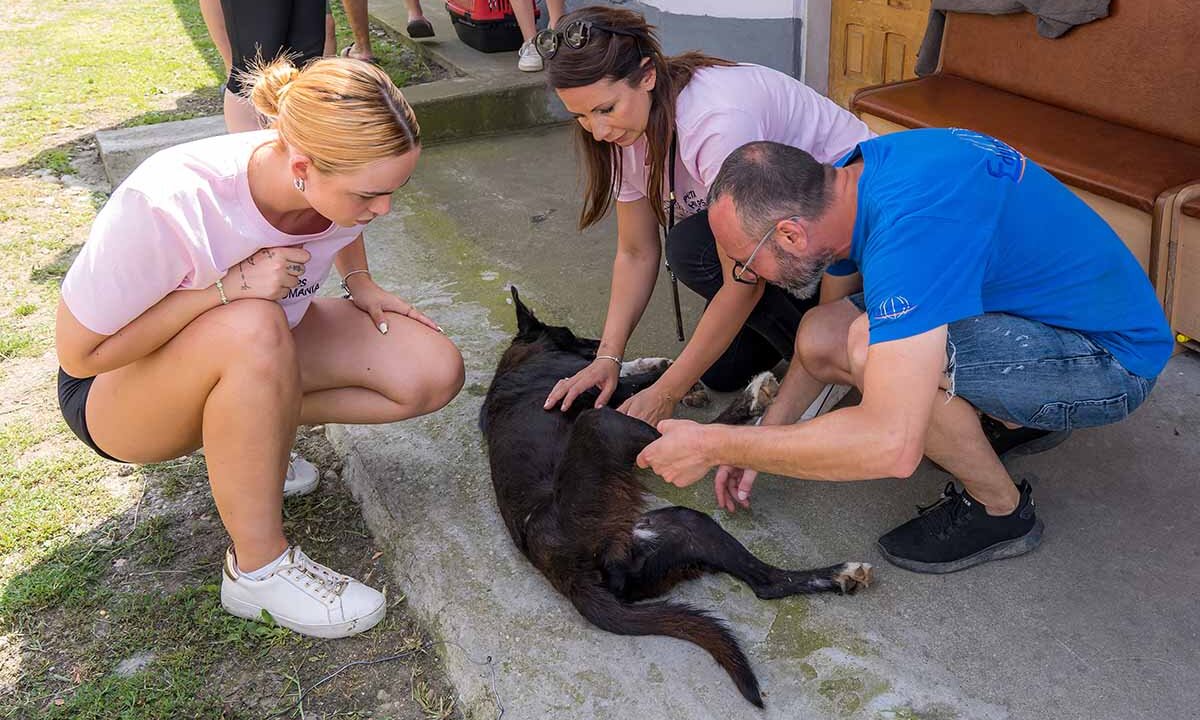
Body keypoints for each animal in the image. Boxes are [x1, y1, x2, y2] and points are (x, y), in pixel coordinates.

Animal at [480, 287, 872, 707]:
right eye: (568, 332)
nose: (599, 343)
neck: (524, 353)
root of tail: (570, 574)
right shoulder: (604, 393)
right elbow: (633, 379)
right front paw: (657, 369)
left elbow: (630, 371)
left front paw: (653, 363)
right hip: (604, 424)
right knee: (680, 437)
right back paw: (753, 402)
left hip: (684, 527)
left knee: (767, 583)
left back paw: (842, 574)